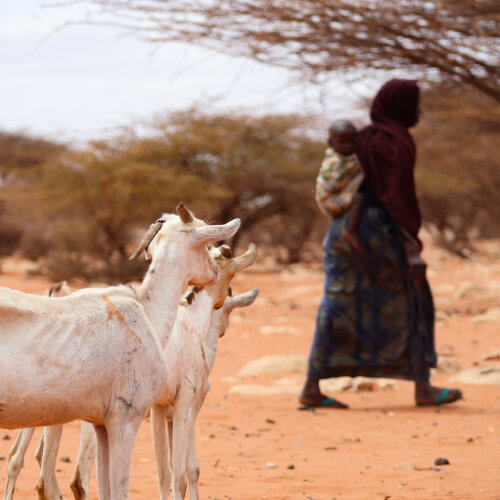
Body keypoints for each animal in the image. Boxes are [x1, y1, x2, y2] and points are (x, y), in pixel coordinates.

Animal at [0, 204, 240, 500]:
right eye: (206, 243)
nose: (215, 273)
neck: (147, 311)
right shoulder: (125, 421)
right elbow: (121, 489)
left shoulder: (101, 425)